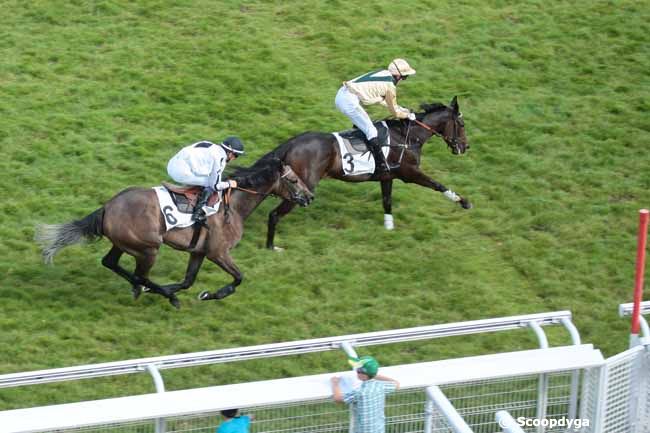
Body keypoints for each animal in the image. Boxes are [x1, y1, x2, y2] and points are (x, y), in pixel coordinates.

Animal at [35, 158, 314, 308]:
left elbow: (188, 280)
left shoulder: (199, 251)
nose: (310, 196)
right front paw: (211, 294)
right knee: (141, 274)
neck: (234, 205)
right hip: (148, 248)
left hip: (126, 243)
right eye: (293, 180)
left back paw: (143, 289)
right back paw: (164, 295)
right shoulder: (218, 252)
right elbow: (238, 278)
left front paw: (197, 291)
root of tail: (107, 207)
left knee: (111, 262)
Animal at [266, 96, 468, 248]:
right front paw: (463, 201)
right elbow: (437, 184)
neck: (408, 136)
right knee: (274, 214)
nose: (466, 147)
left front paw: (389, 229)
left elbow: (387, 201)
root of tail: (291, 143)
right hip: (303, 187)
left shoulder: (387, 176)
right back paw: (271, 246)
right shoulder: (409, 173)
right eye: (461, 124)